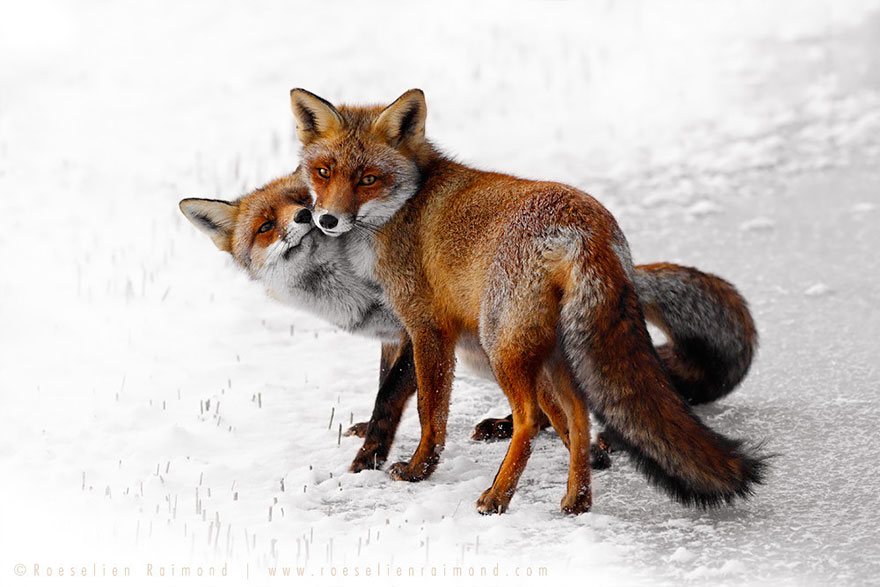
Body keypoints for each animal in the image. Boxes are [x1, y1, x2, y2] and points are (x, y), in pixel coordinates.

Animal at [289, 87, 766, 514]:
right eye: (324, 172)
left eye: (368, 179)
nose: (326, 220)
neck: (405, 208)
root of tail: (586, 227)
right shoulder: (404, 328)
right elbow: (386, 389)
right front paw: (373, 436)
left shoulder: (427, 328)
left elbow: (427, 409)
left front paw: (418, 468)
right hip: (550, 350)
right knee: (576, 416)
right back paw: (577, 499)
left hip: (500, 344)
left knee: (532, 419)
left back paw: (498, 495)